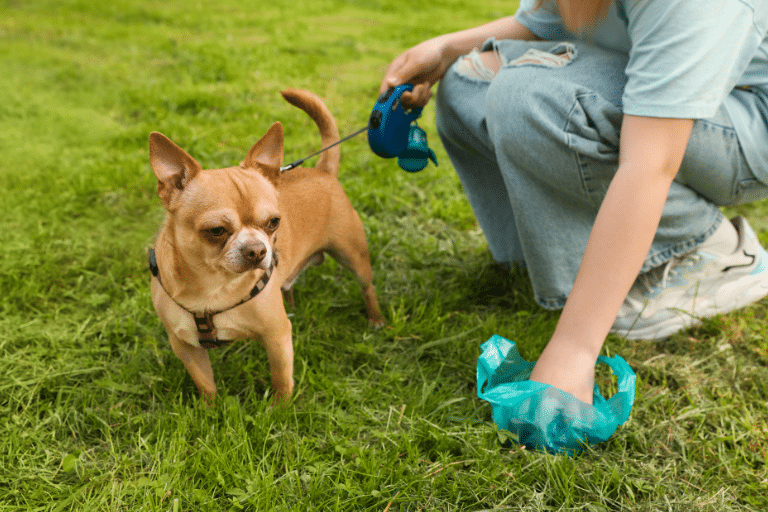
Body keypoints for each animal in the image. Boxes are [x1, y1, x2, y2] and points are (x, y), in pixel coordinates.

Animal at [148, 91, 384, 404]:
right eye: (216, 231)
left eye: (273, 222)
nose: (258, 250)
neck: (213, 287)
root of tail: (323, 171)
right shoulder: (185, 345)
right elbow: (205, 383)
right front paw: (209, 409)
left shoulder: (277, 336)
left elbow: (281, 378)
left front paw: (279, 410)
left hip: (353, 256)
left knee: (366, 287)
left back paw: (376, 319)